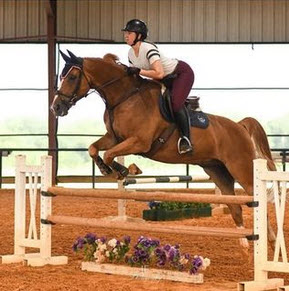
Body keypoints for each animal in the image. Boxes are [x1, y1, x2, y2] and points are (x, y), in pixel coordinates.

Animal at [50, 50, 276, 251]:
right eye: (62, 77)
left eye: (72, 77)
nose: (56, 107)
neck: (124, 97)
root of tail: (239, 126)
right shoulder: (114, 138)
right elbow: (94, 149)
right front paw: (108, 169)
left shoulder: (140, 142)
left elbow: (109, 153)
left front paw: (125, 171)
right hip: (218, 171)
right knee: (235, 206)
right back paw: (244, 243)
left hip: (242, 169)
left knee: (257, 202)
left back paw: (270, 241)